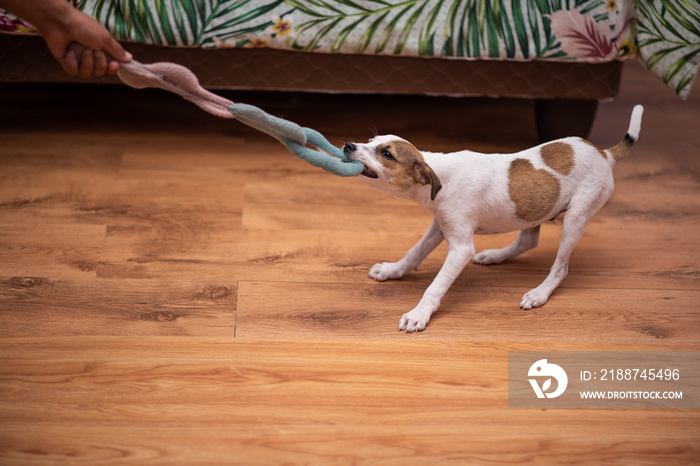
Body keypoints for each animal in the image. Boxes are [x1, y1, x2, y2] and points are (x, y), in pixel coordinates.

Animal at [342, 104, 644, 332]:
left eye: (387, 154)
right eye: (370, 141)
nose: (347, 145)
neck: (440, 175)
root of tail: (604, 154)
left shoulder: (460, 248)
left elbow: (435, 286)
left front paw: (419, 314)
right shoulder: (440, 226)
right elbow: (414, 252)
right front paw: (392, 270)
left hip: (576, 217)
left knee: (560, 267)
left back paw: (539, 293)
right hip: (535, 210)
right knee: (528, 241)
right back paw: (494, 256)